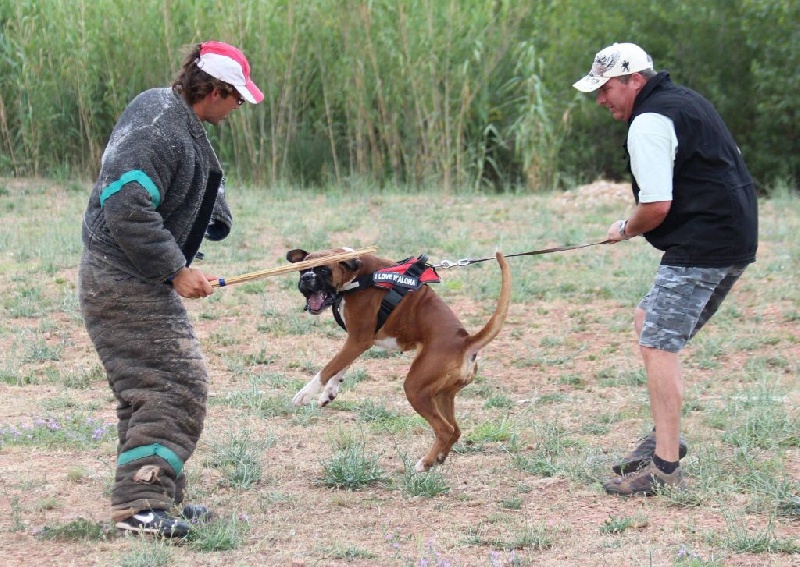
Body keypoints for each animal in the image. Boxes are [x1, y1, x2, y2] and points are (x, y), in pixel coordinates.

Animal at [288, 246, 510, 472]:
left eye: (324, 270)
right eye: (302, 270)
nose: (307, 278)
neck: (359, 274)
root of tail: (466, 342)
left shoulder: (358, 340)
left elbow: (328, 367)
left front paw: (305, 394)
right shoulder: (356, 343)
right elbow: (339, 366)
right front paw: (329, 392)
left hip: (416, 389)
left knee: (445, 429)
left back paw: (424, 464)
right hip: (442, 395)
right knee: (455, 430)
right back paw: (437, 459)